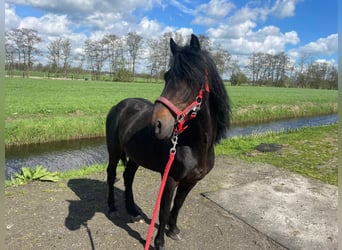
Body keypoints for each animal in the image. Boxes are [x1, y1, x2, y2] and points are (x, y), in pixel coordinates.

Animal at [105, 34, 231, 249]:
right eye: (166, 76)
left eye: (192, 80)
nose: (157, 124)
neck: (195, 146)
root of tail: (119, 106)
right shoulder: (170, 178)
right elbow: (163, 211)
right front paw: (159, 242)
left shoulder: (191, 181)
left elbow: (177, 205)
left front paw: (173, 230)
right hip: (114, 151)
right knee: (111, 174)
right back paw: (113, 208)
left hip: (136, 157)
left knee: (128, 177)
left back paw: (133, 210)